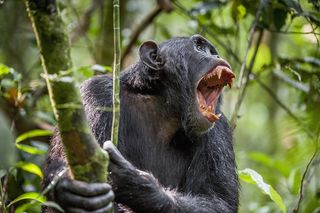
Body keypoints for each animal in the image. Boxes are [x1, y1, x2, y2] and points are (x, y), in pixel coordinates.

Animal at [42, 34, 238, 212]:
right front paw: (65, 188)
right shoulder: (95, 95)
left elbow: (219, 201)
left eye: (212, 51)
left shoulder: (219, 129)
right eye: (199, 47)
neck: (163, 104)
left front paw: (136, 182)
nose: (216, 56)